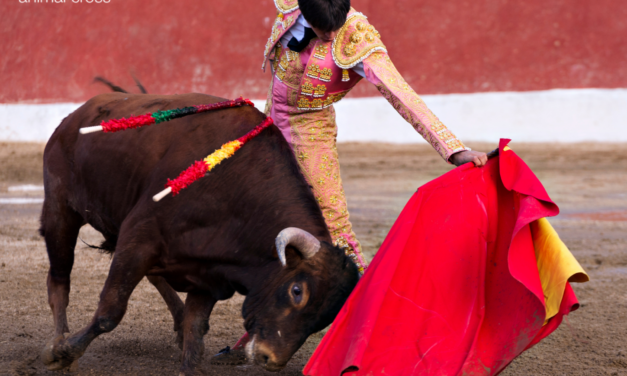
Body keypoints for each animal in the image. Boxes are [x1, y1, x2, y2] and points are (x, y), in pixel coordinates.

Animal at [39, 92, 360, 374]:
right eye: (297, 291)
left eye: (326, 317)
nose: (271, 359)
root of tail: (75, 116)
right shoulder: (139, 238)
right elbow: (110, 311)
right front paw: (62, 353)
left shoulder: (207, 273)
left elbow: (196, 328)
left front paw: (188, 354)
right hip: (60, 210)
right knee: (59, 280)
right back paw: (58, 344)